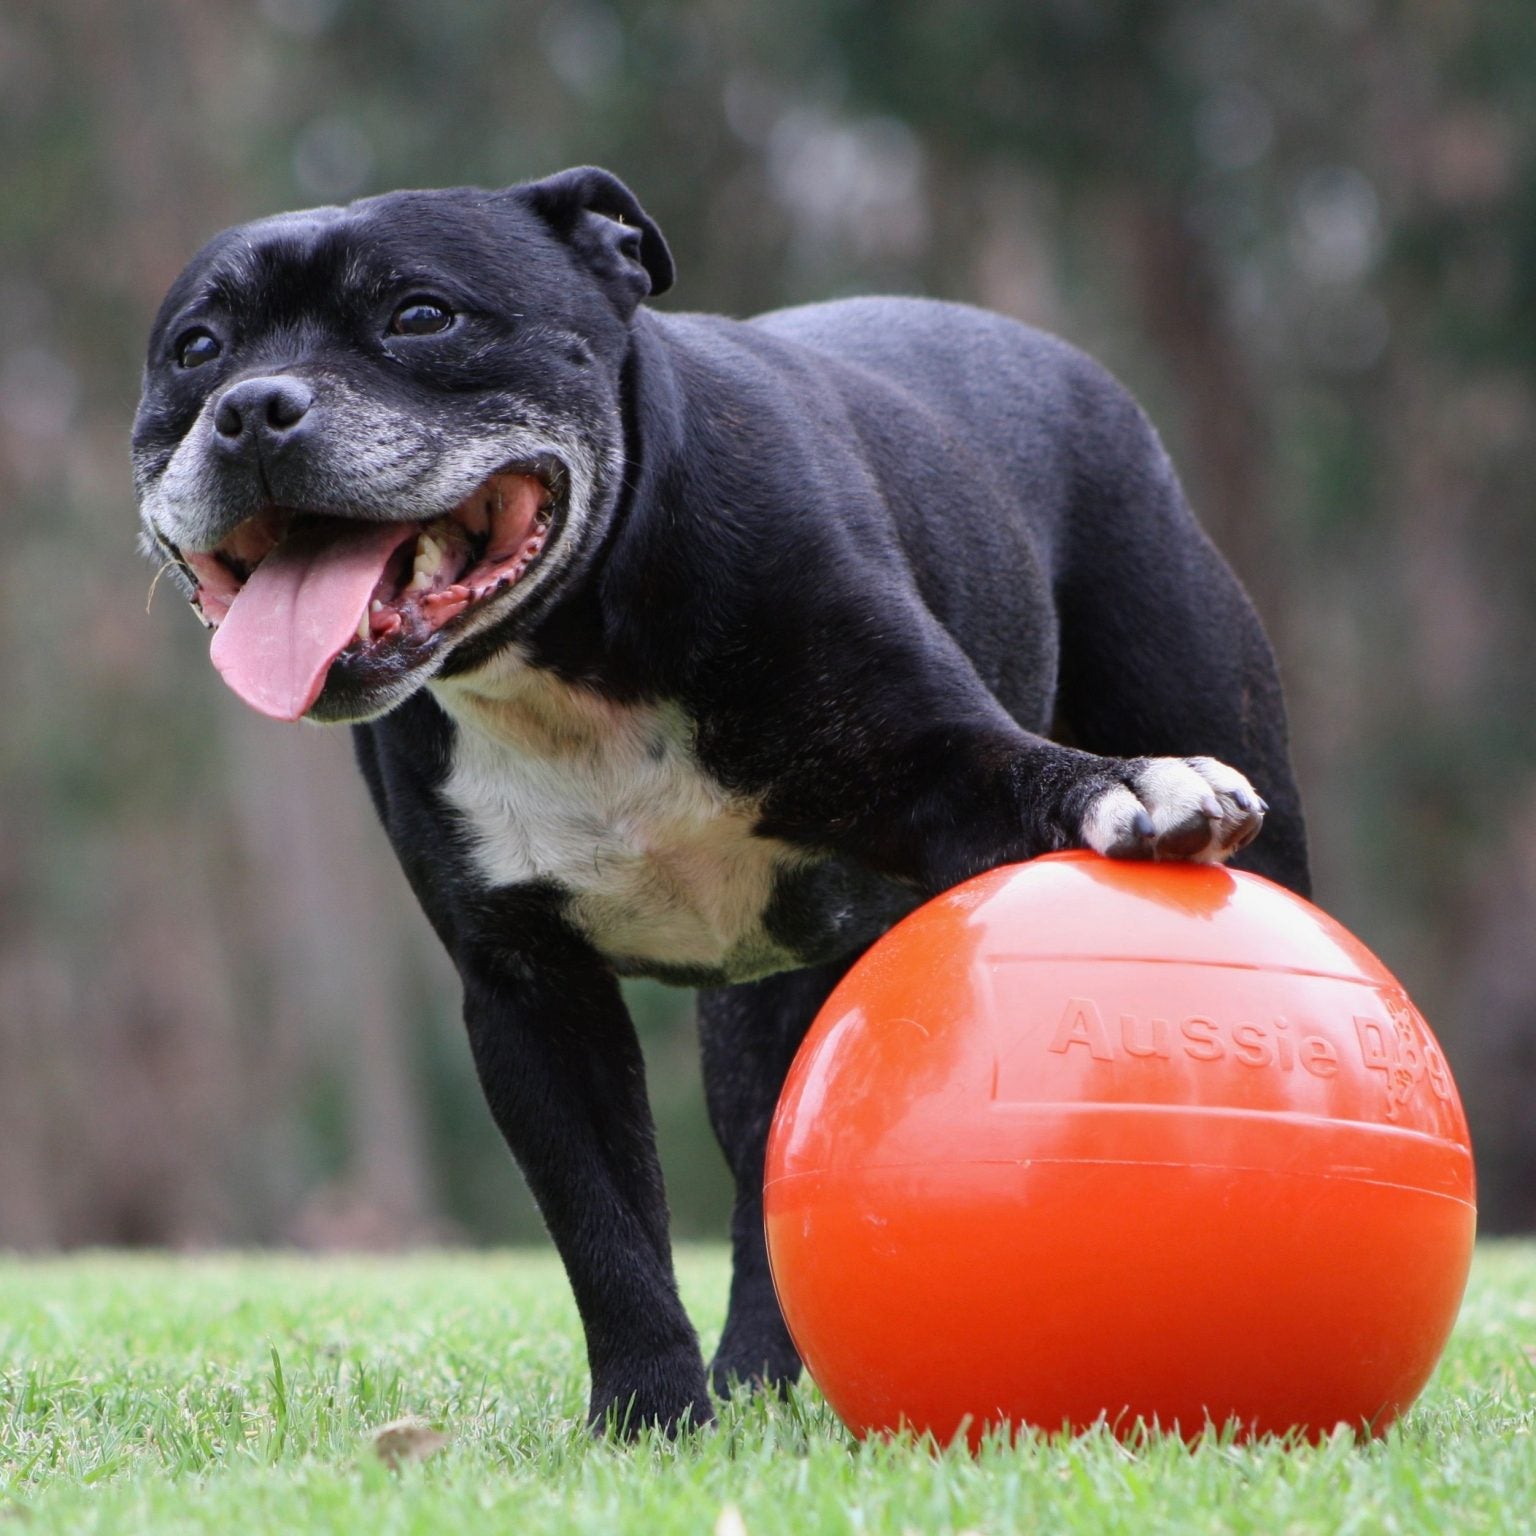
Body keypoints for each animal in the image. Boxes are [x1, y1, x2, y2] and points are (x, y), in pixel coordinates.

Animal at [132, 168, 1308, 1437]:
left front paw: (1133, 783)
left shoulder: (944, 768)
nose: (253, 408)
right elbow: (604, 1226)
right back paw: (757, 1379)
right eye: (197, 349)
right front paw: (649, 1417)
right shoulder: (529, 992)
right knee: (768, 1168)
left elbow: (1018, 768)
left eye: (421, 316)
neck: (576, 645)